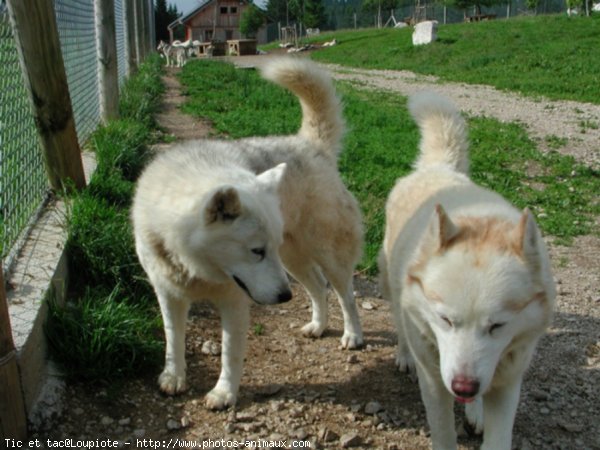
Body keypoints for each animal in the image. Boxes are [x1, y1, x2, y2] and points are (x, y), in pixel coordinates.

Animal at [132, 58, 364, 410]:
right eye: (257, 251)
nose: (284, 298)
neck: (195, 264)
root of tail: (308, 143)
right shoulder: (169, 294)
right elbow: (174, 340)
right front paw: (173, 378)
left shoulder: (234, 303)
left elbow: (230, 354)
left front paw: (223, 394)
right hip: (293, 263)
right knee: (318, 288)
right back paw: (318, 326)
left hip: (323, 257)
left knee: (345, 294)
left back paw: (353, 336)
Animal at [382, 91, 556, 450]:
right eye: (445, 320)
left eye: (497, 326)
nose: (464, 387)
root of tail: (439, 167)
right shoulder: (435, 381)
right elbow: (443, 430)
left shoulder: (507, 379)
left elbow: (499, 435)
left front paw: (476, 410)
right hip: (393, 285)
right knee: (401, 324)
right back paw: (406, 356)